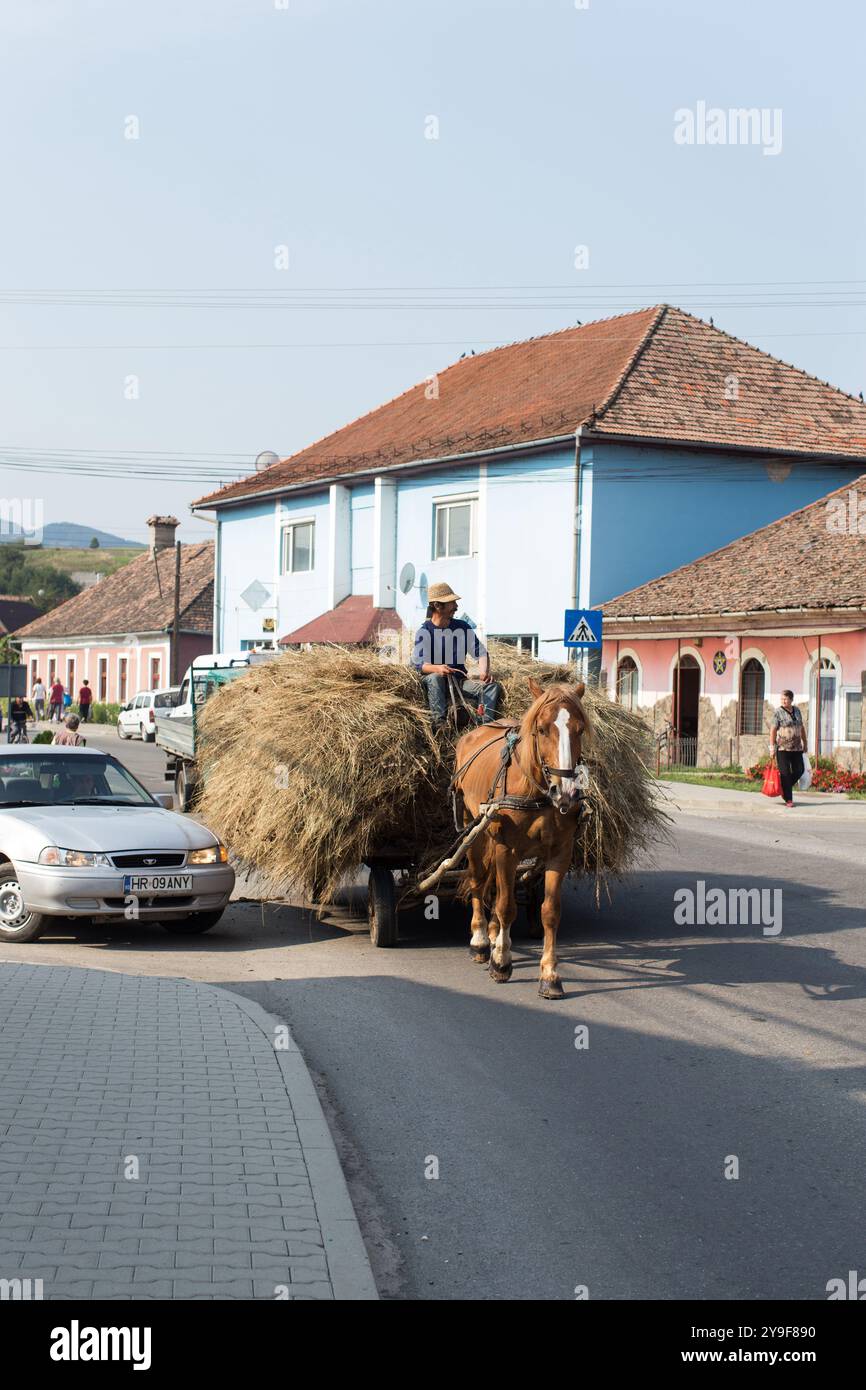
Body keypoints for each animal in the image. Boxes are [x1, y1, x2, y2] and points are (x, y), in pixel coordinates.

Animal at [453, 675, 589, 995]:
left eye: (579, 729)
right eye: (542, 729)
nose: (566, 792)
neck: (537, 791)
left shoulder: (560, 852)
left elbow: (550, 912)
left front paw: (550, 974)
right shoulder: (507, 849)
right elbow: (506, 906)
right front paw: (501, 962)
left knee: (493, 884)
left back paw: (492, 934)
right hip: (474, 830)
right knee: (478, 881)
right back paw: (480, 940)